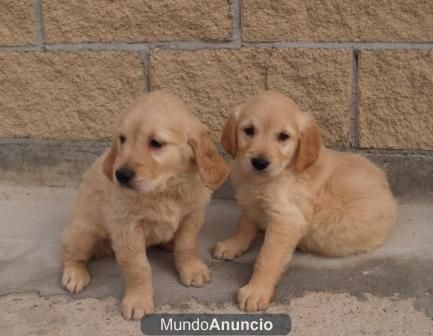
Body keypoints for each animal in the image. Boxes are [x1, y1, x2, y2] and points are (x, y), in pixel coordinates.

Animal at [62, 90, 230, 320]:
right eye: (122, 139)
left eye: (156, 143)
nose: (121, 175)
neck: (165, 190)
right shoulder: (127, 227)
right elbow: (138, 267)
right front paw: (138, 301)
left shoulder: (192, 215)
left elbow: (187, 245)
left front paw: (192, 268)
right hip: (83, 232)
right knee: (70, 252)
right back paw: (74, 273)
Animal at [214, 90, 396, 312]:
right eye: (249, 130)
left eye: (284, 136)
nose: (259, 163)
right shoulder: (251, 203)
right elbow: (244, 226)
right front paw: (232, 245)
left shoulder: (286, 219)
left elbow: (267, 257)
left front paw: (256, 291)